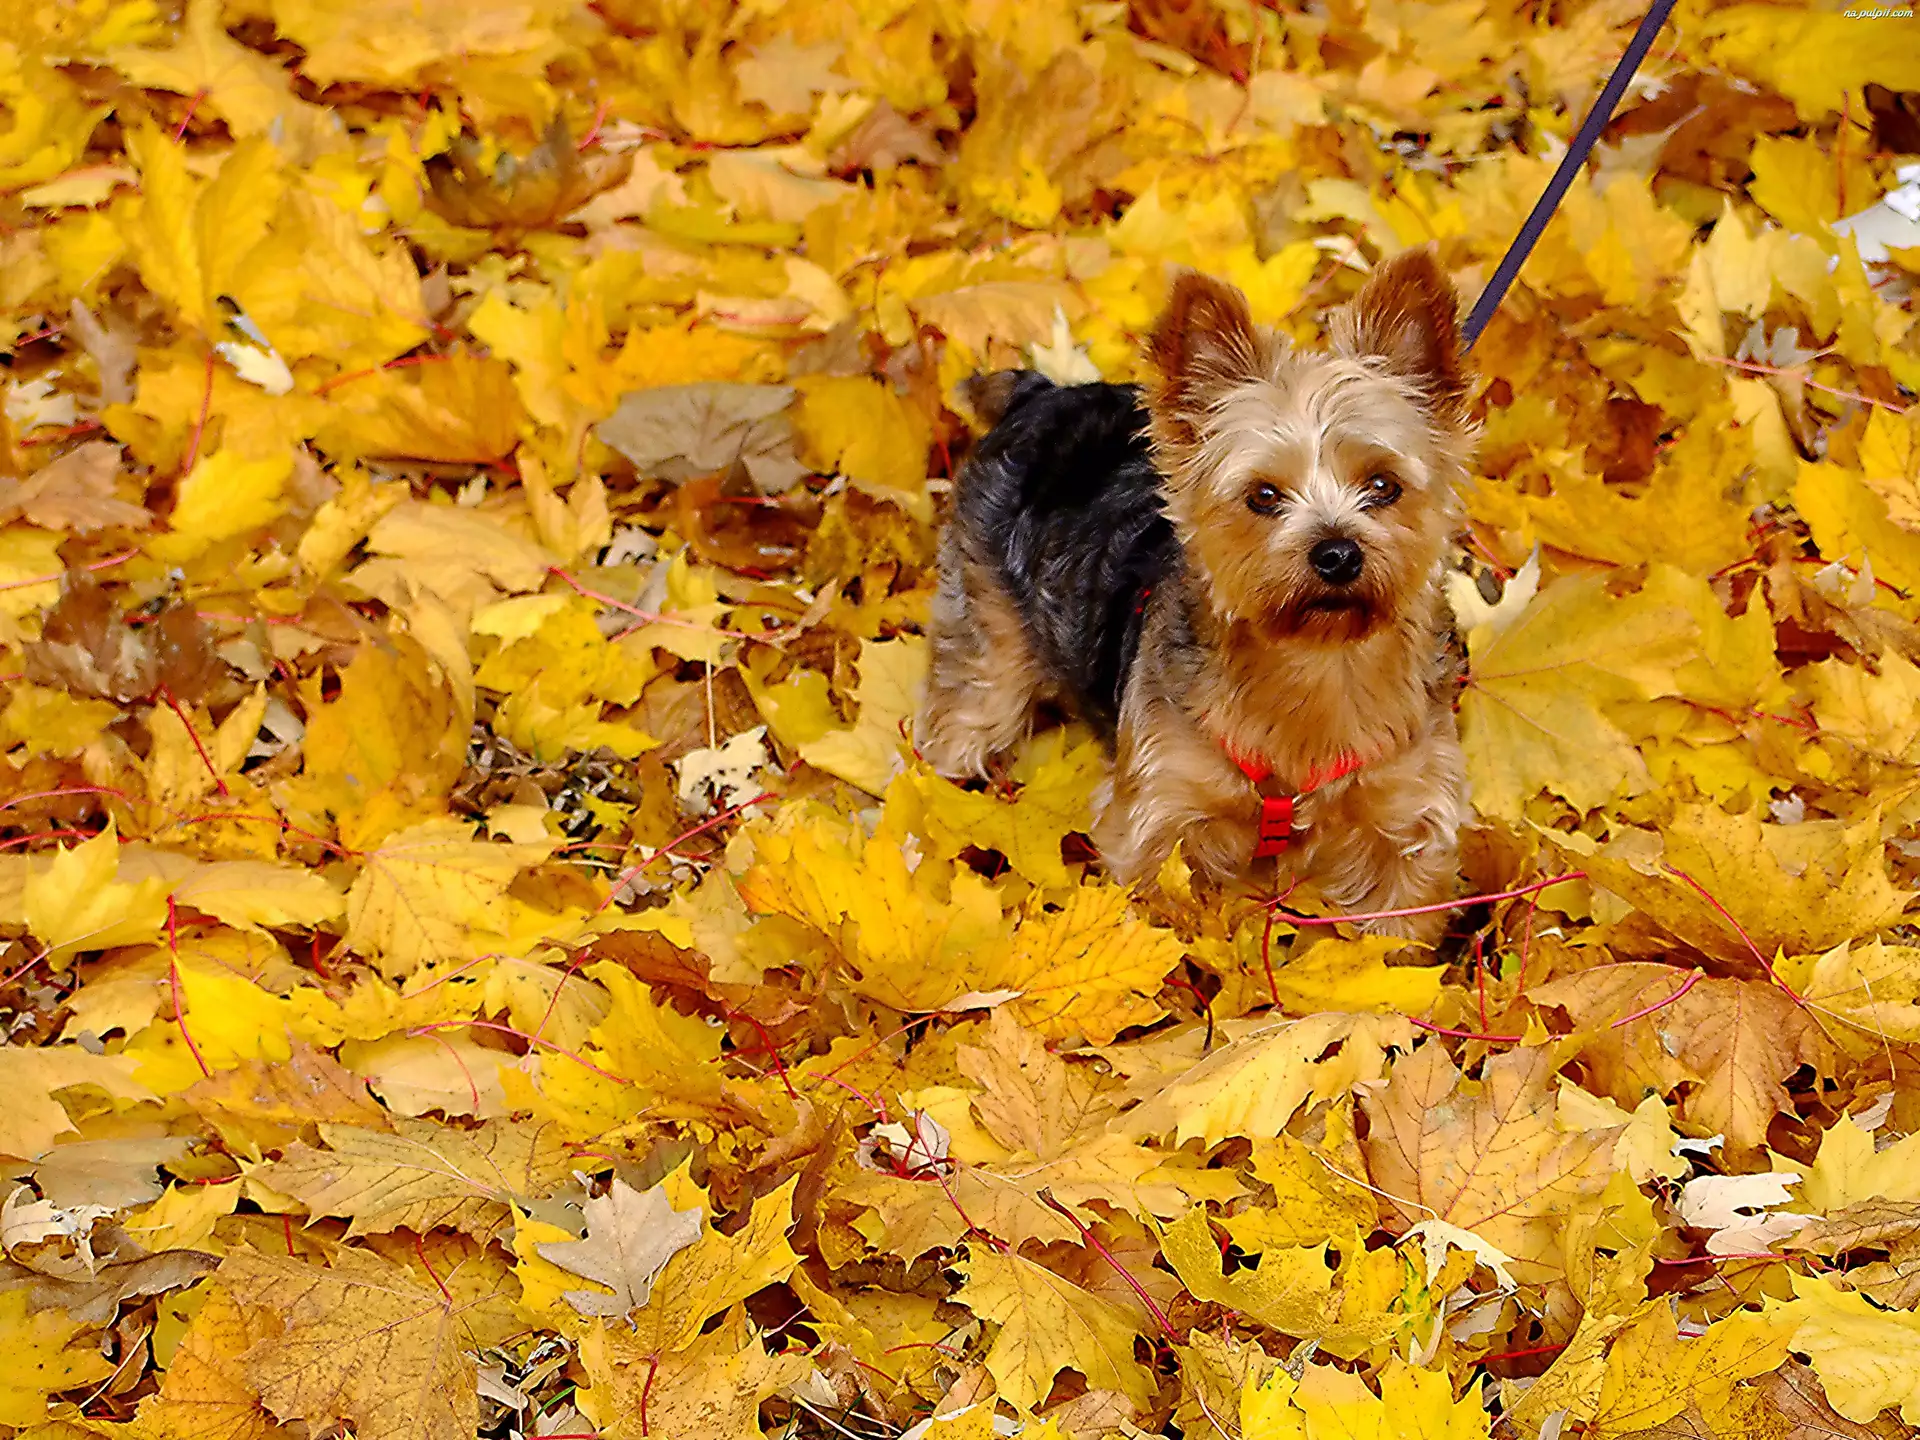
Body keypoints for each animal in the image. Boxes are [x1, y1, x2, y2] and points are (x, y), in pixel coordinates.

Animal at [913, 251, 1466, 940]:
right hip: (984, 637)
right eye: (1263, 495)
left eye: (1384, 485)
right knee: (963, 717)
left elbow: (1395, 936)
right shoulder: (1160, 816)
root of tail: (1040, 396)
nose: (1337, 553)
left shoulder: (1406, 821)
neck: (1317, 667)